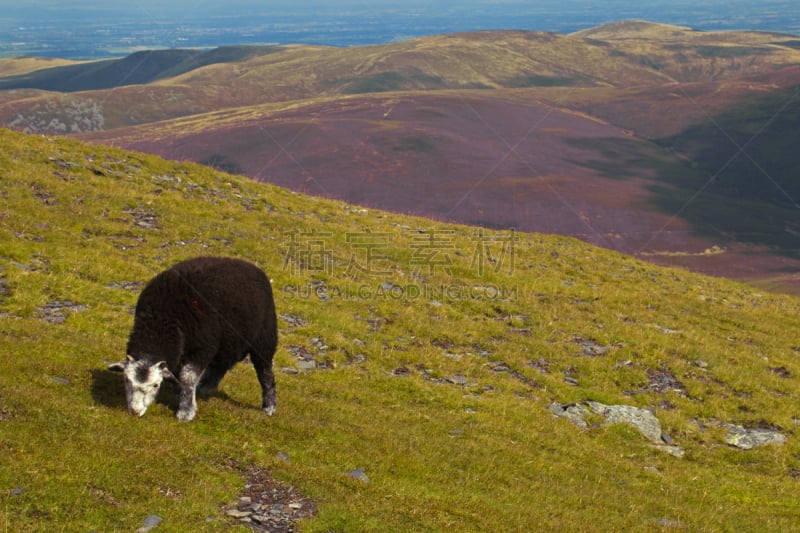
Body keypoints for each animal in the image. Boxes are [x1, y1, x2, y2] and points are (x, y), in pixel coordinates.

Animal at [109, 256, 278, 422]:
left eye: (156, 385)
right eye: (126, 380)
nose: (135, 412)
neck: (160, 322)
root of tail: (254, 267)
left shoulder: (203, 348)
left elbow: (187, 376)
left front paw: (186, 411)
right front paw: (180, 393)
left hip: (264, 339)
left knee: (265, 372)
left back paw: (269, 406)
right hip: (228, 341)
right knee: (221, 365)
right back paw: (204, 387)